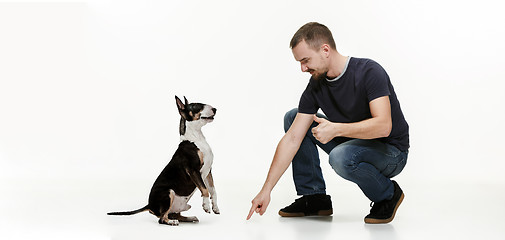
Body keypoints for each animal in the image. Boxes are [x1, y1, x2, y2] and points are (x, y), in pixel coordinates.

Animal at [107, 95, 220, 225]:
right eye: (197, 106)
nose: (215, 109)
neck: (195, 139)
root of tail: (149, 205)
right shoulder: (193, 170)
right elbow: (205, 189)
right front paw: (206, 206)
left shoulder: (208, 171)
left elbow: (213, 190)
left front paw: (215, 207)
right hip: (168, 192)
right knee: (162, 219)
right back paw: (172, 222)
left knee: (174, 214)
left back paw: (190, 218)